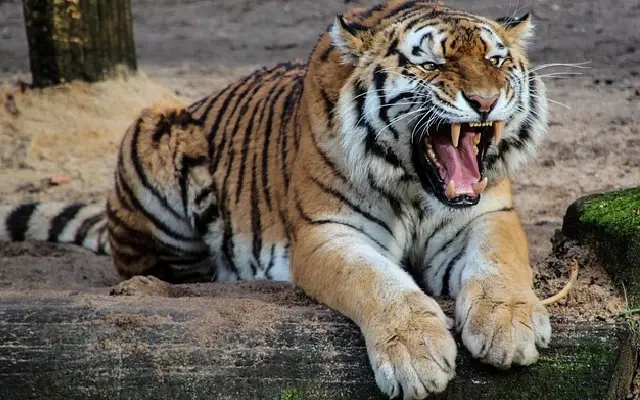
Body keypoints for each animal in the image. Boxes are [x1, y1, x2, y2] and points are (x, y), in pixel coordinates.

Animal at [0, 1, 552, 398]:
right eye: (431, 63)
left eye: (496, 60)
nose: (485, 101)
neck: (416, 187)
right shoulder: (327, 233)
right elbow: (379, 283)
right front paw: (415, 355)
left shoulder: (487, 214)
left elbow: (498, 264)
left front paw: (510, 326)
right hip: (155, 127)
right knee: (155, 268)